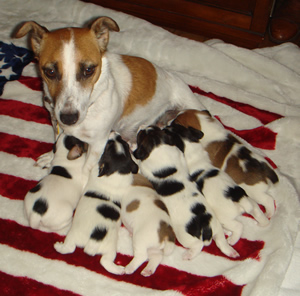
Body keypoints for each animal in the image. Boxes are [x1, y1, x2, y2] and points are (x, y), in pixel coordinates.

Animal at [54, 132, 139, 276]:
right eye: (124, 145)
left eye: (108, 146)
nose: (115, 132)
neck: (117, 171)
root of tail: (91, 243)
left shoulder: (94, 169)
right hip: (110, 249)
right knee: (105, 260)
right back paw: (118, 270)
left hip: (73, 235)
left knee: (70, 248)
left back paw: (58, 246)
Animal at [134, 126, 239, 260]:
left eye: (141, 135)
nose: (144, 127)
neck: (160, 148)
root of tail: (206, 226)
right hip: (217, 227)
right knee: (221, 241)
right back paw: (231, 251)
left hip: (185, 236)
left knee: (198, 245)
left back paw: (188, 255)